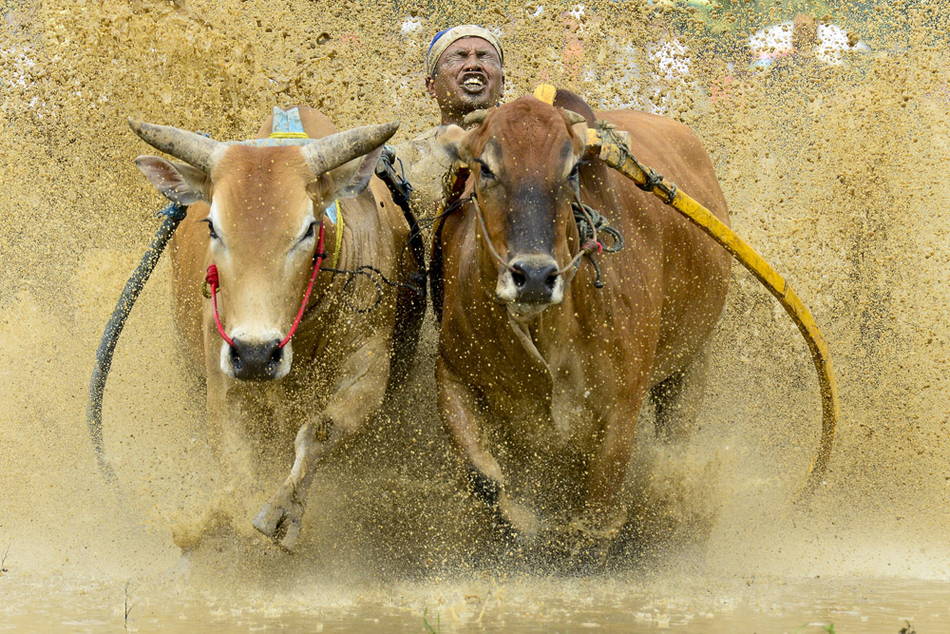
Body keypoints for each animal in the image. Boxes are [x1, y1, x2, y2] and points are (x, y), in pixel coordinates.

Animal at [132, 105, 422, 548]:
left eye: (308, 228)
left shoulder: (369, 371)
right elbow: (236, 462)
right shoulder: (224, 378)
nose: (256, 354)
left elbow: (318, 432)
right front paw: (225, 518)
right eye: (213, 226)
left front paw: (283, 512)